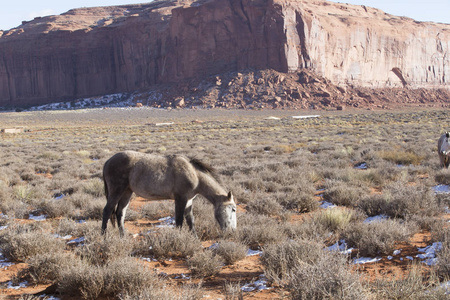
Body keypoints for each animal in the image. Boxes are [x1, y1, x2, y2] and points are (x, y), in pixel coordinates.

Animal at [101, 151, 236, 236]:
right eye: (234, 209)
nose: (232, 231)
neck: (194, 174)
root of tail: (107, 162)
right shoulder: (180, 199)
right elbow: (179, 222)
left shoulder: (189, 200)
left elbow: (191, 221)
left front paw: (195, 239)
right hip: (116, 192)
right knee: (107, 211)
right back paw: (104, 237)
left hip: (127, 192)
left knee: (120, 213)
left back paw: (122, 236)